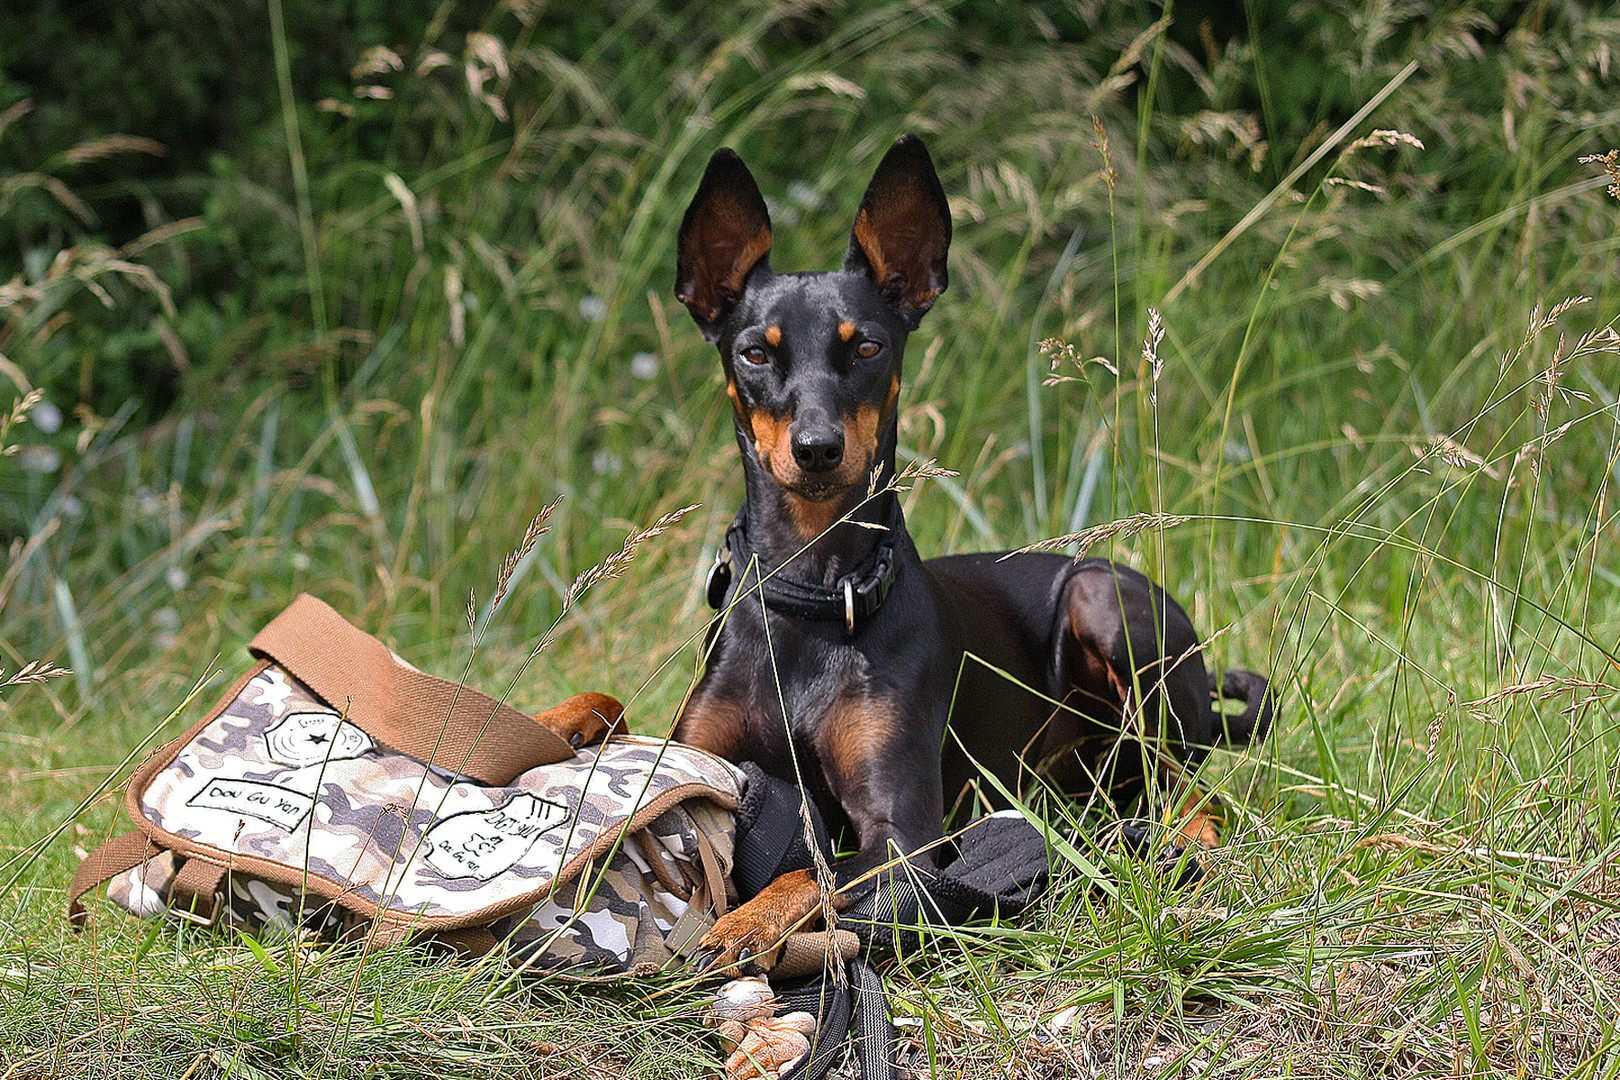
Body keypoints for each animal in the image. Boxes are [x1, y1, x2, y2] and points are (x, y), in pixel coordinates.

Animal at [670, 132, 1276, 971]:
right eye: (756, 354)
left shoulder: (901, 835)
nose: (818, 449)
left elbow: (806, 871)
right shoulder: (695, 759)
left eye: (869, 347)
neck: (815, 588)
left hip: (1105, 603)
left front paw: (743, 924)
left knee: (1187, 788)